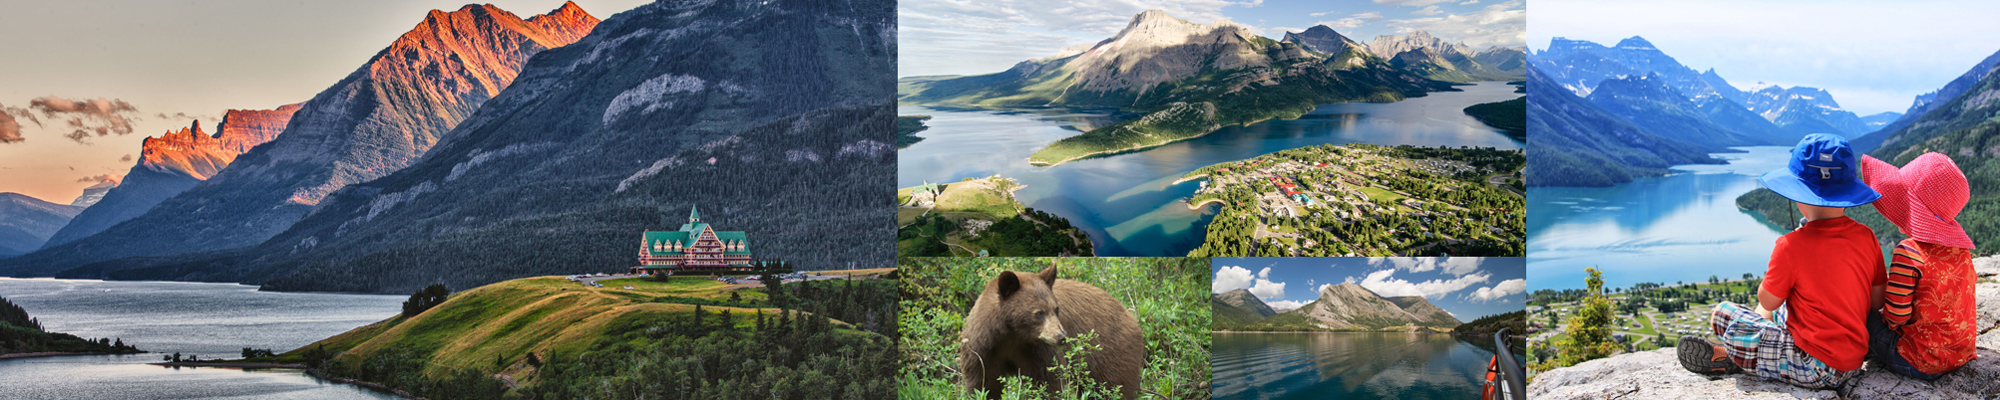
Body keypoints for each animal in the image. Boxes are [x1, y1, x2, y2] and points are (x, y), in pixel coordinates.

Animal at [964, 264, 1152, 398]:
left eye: (1056, 309)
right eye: (1039, 313)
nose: (1062, 337)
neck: (1012, 336)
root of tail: (1131, 317)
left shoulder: (1041, 352)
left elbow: (1050, 382)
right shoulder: (983, 348)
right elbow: (983, 384)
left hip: (1113, 353)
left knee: (1116, 387)